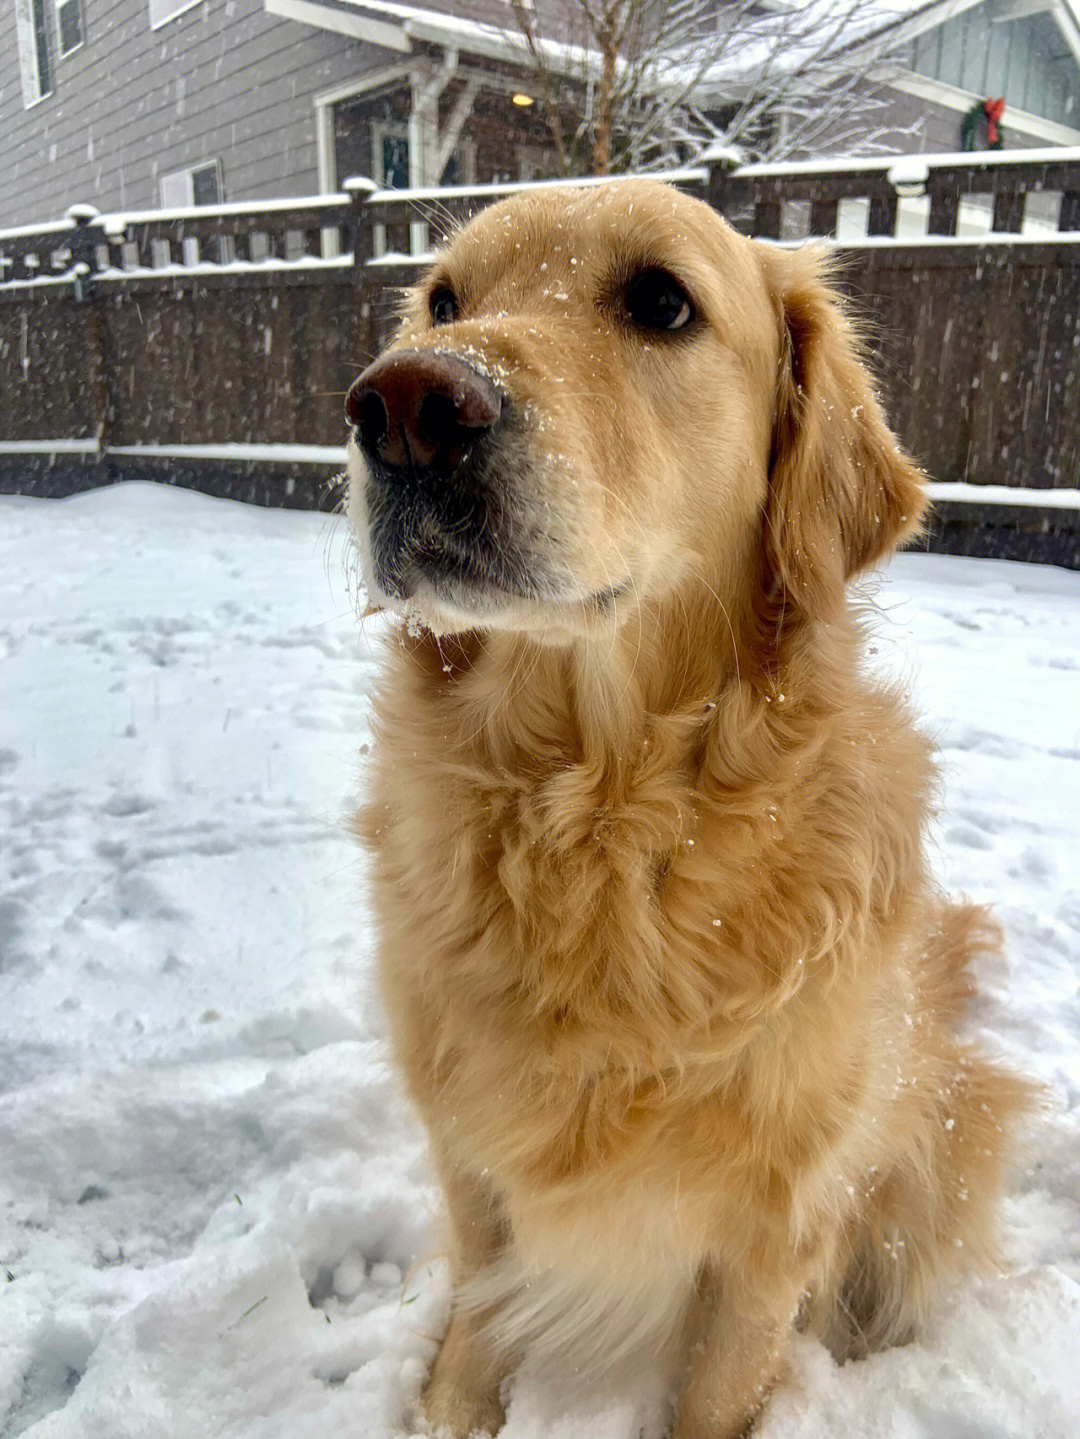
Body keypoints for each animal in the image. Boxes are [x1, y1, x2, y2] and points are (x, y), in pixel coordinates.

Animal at [343, 182, 1029, 1439]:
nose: (404, 405)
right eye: (444, 301)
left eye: (662, 302)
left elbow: (719, 1387)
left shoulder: (774, 1228)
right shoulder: (470, 1165)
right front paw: (452, 1406)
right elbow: (474, 1324)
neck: (599, 819)